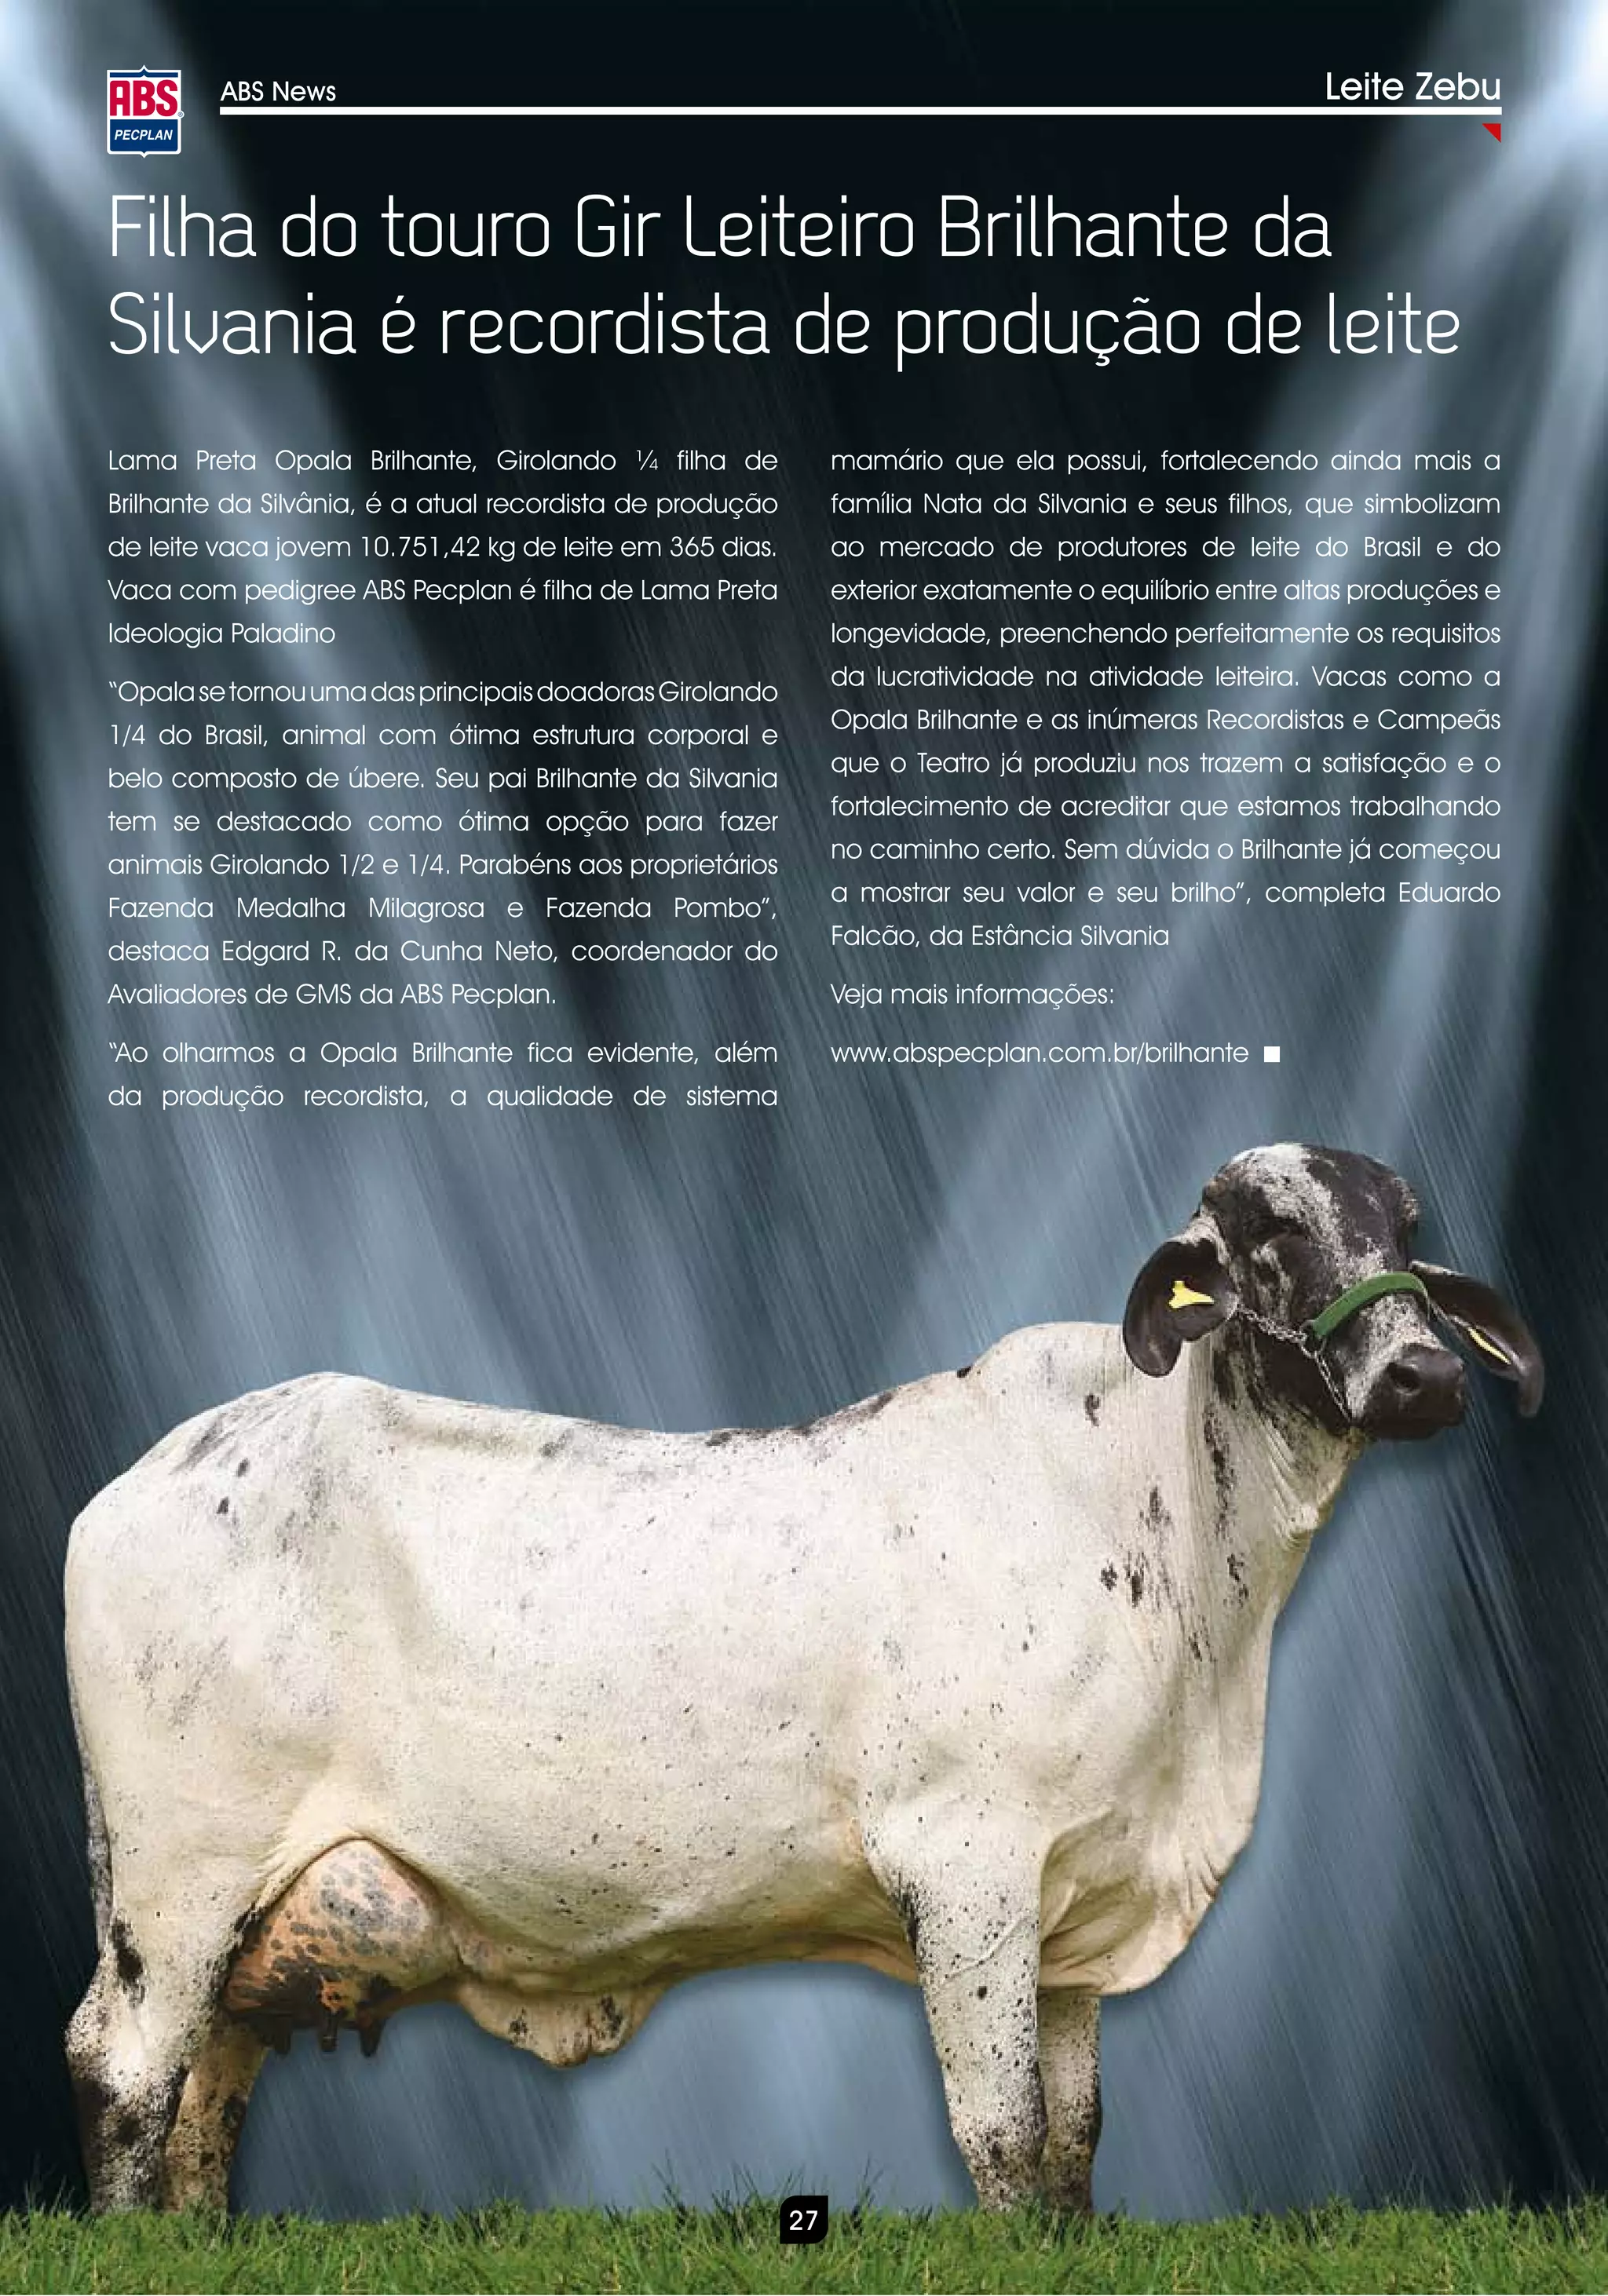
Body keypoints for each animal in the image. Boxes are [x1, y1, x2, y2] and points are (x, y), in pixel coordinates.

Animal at [64, 1143, 1542, 2216]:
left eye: (1404, 1230)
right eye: (1271, 1234)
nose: (1423, 1374)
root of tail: (148, 1471)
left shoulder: (1077, 1908)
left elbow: (1074, 2140)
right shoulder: (968, 1865)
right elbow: (1004, 2135)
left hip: (245, 1927)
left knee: (201, 2091)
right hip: (180, 1880)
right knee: (127, 2076)